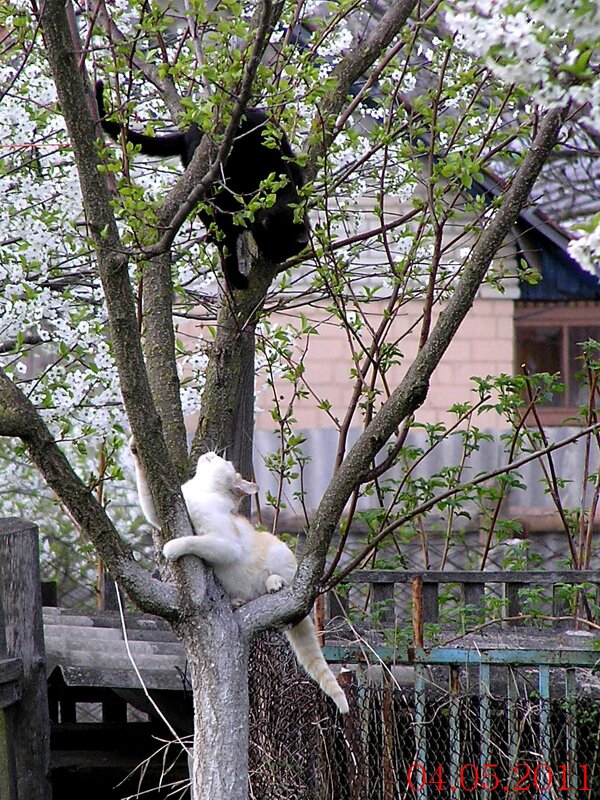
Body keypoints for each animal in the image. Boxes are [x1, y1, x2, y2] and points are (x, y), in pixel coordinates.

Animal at [96, 80, 310, 290]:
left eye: (285, 251)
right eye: (275, 246)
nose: (275, 258)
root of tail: (189, 132)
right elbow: (227, 244)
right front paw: (235, 278)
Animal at [129, 444, 350, 712]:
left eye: (226, 461)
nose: (213, 452)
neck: (201, 490)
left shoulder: (225, 544)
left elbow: (193, 541)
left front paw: (171, 548)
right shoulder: (161, 514)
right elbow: (146, 493)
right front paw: (135, 448)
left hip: (283, 558)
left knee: (292, 598)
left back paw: (275, 583)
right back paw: (237, 601)